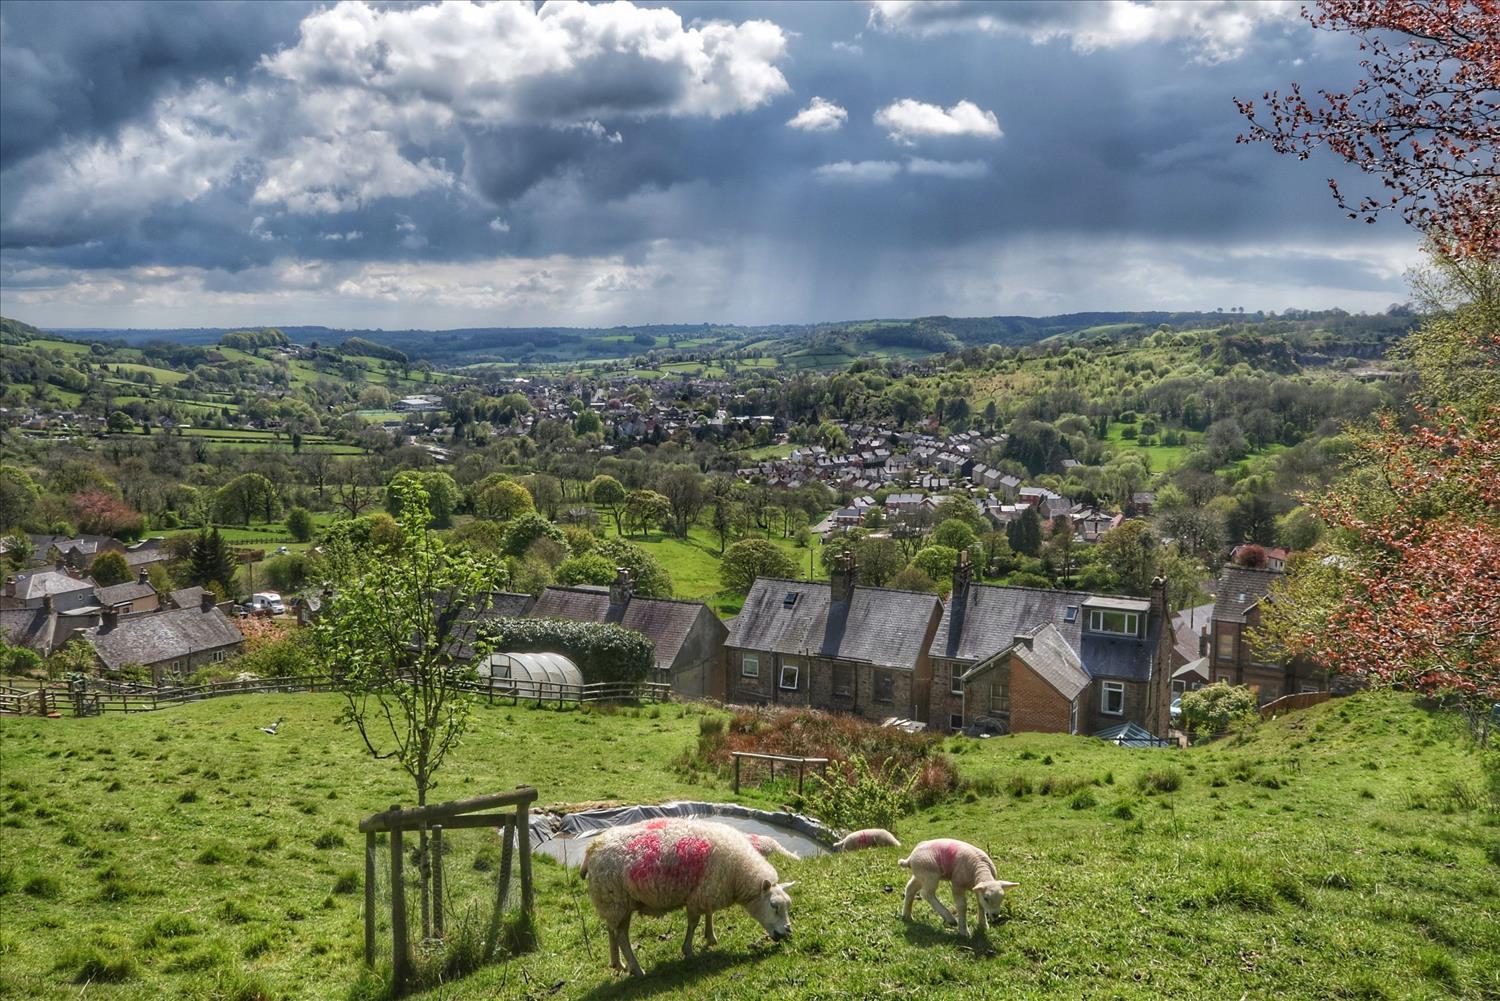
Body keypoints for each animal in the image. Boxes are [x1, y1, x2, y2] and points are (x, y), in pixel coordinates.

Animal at [579, 816, 798, 972]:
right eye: (774, 906)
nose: (787, 933)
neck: (739, 874)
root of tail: (591, 849)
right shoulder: (698, 896)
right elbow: (693, 923)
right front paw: (689, 950)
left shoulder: (707, 890)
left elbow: (709, 914)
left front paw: (710, 937)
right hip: (616, 900)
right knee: (622, 936)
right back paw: (636, 969)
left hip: (612, 903)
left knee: (612, 931)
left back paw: (618, 964)